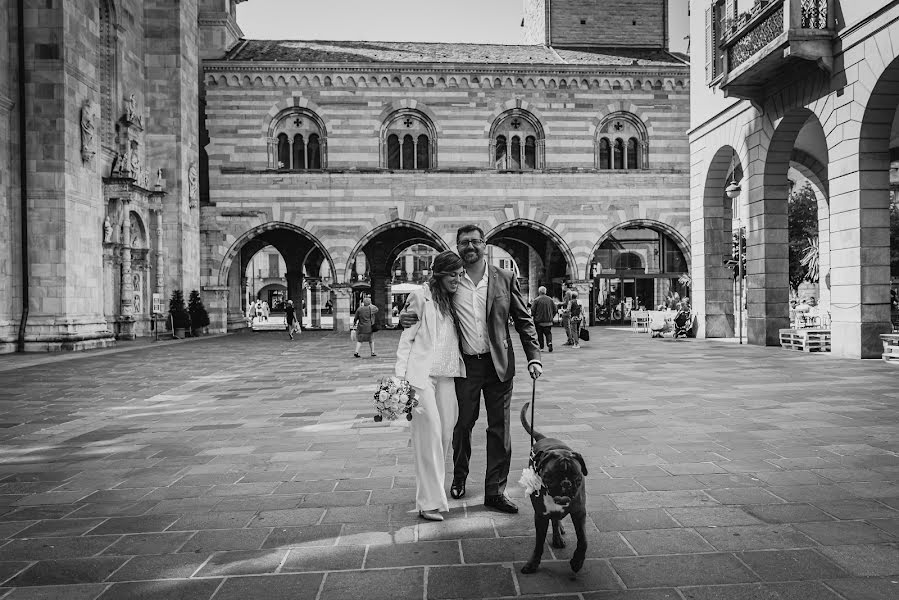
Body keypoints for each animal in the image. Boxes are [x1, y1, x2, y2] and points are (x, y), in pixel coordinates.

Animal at [520, 400, 592, 576]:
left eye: (577, 477)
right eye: (549, 476)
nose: (565, 483)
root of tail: (544, 438)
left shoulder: (579, 512)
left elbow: (583, 540)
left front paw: (577, 562)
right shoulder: (540, 516)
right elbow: (539, 543)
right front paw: (533, 564)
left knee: (556, 519)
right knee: (554, 519)